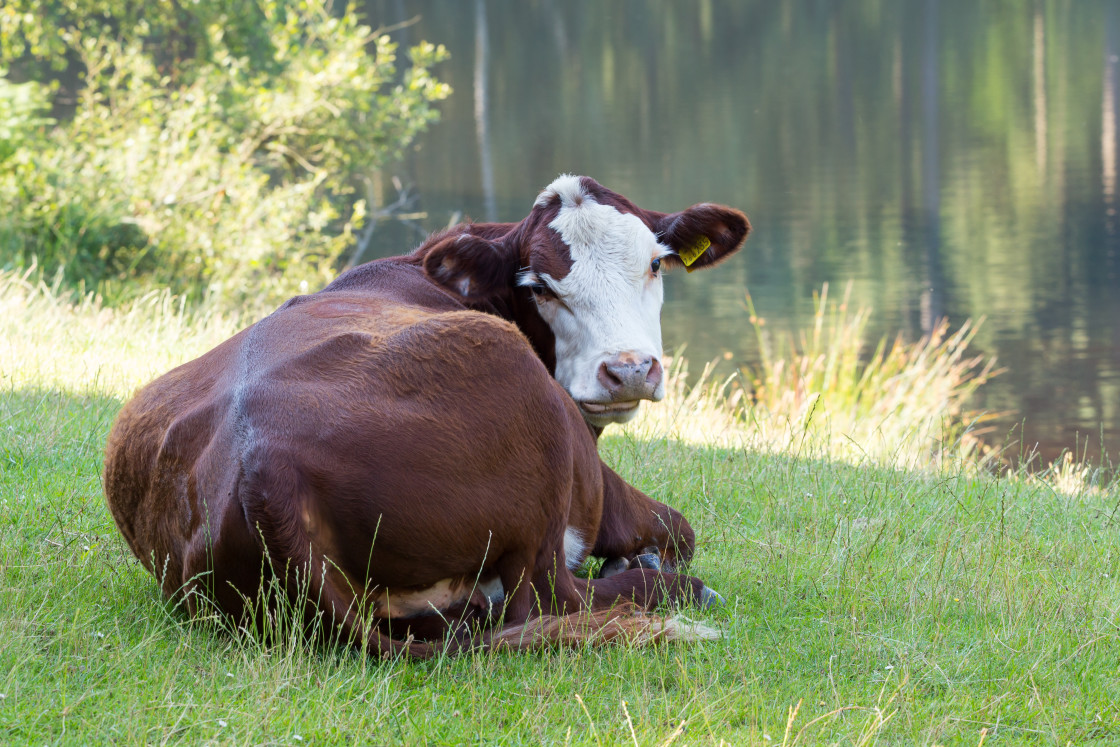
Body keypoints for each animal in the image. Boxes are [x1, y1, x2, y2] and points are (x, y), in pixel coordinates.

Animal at [105, 173, 752, 654]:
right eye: (541, 286)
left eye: (655, 265)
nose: (629, 370)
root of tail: (263, 462)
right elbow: (679, 528)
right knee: (550, 598)